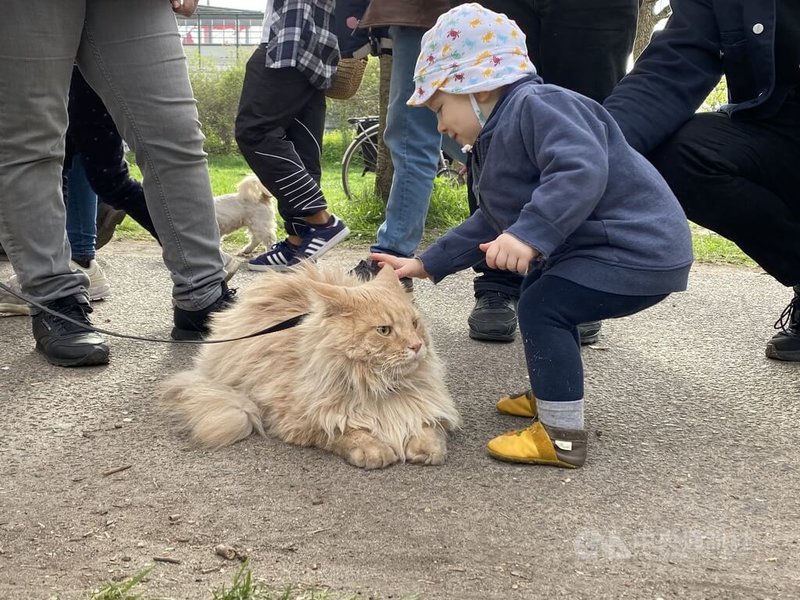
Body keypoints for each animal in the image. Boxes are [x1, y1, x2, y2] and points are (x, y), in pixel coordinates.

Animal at [159, 262, 460, 468]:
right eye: (384, 330)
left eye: (414, 323)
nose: (416, 346)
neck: (382, 388)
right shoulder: (297, 419)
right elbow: (346, 432)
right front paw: (374, 450)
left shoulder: (428, 405)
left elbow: (429, 426)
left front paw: (427, 448)